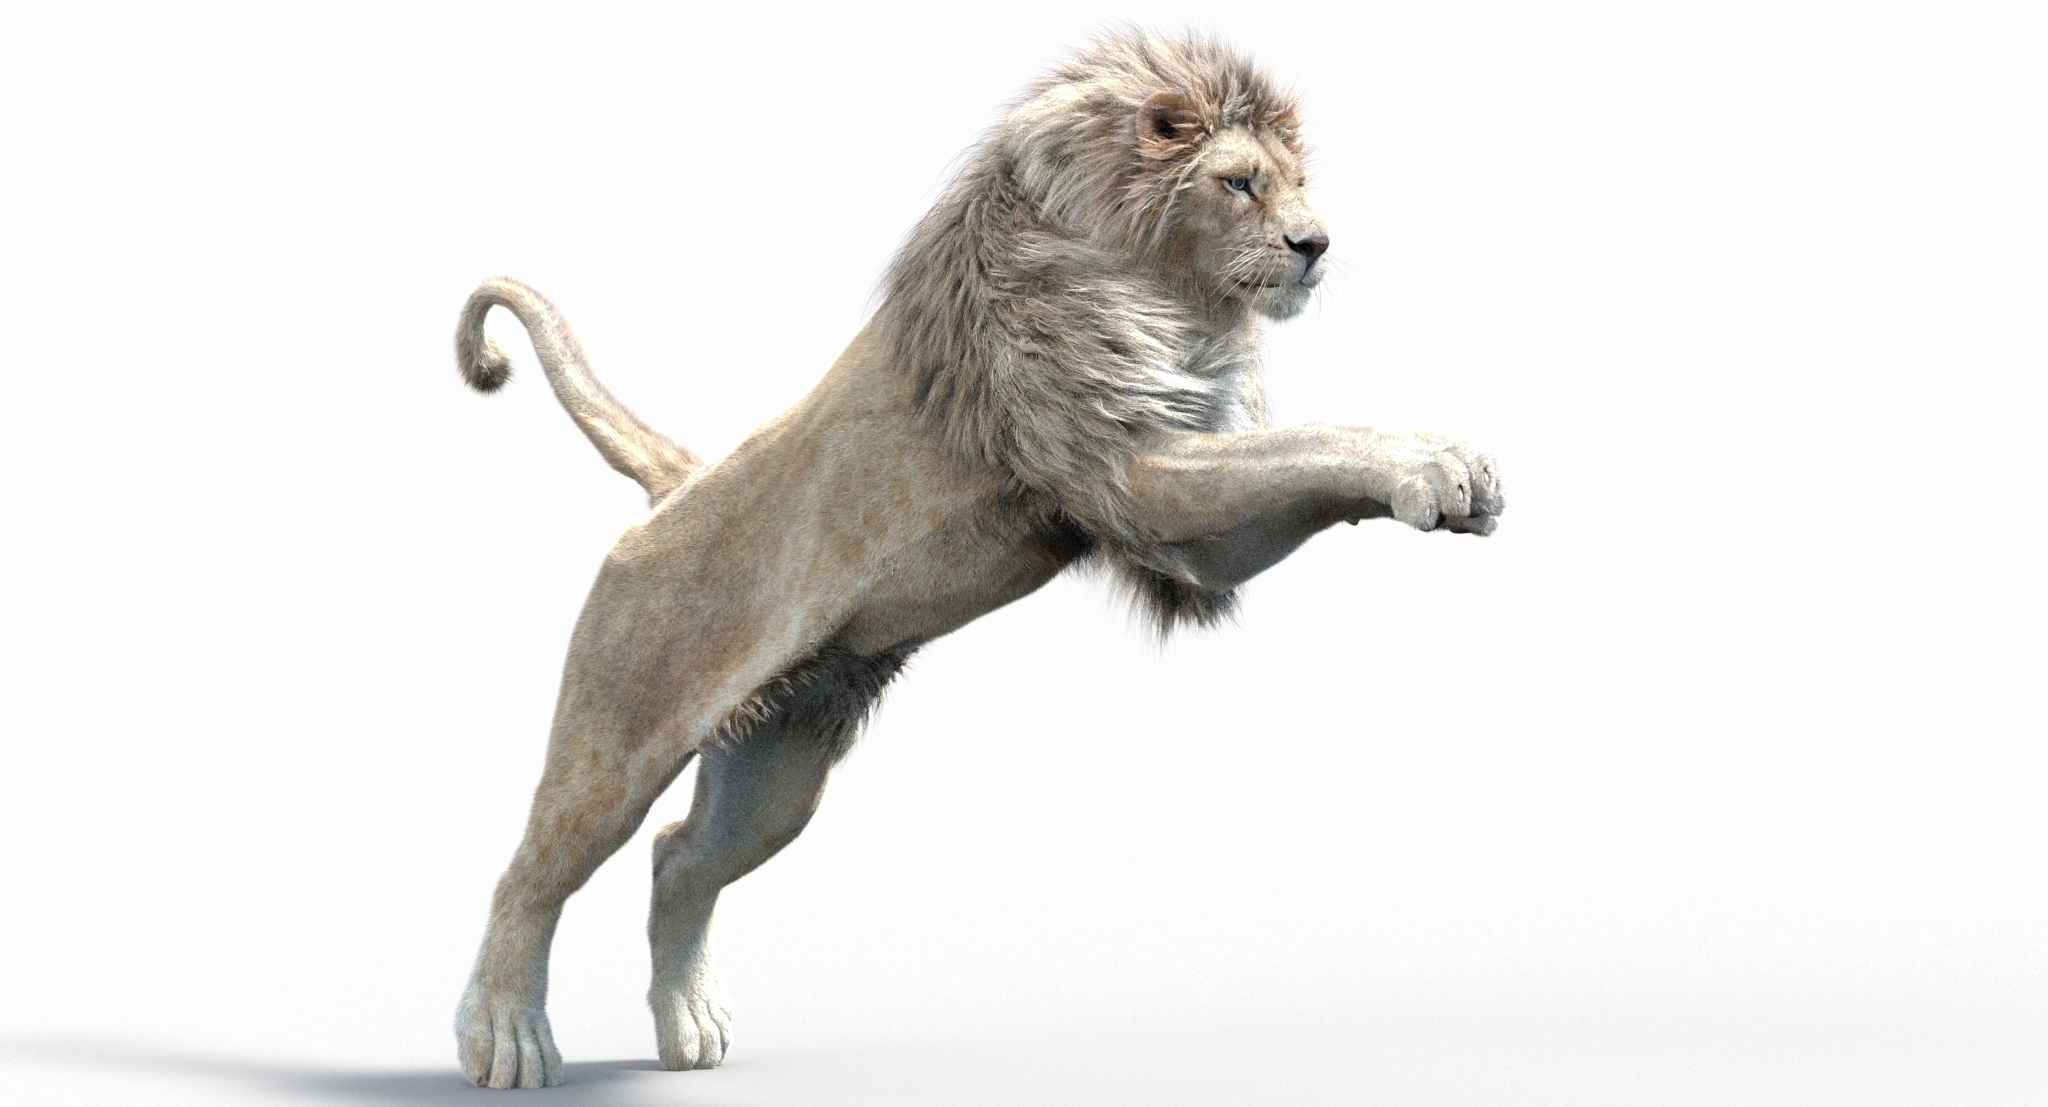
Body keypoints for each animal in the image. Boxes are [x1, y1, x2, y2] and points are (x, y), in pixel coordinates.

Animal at [449, 32, 1504, 1089]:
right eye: (1240, 182)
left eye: (1297, 183)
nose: (1315, 244)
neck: (1172, 289)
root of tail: (680, 483)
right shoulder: (1128, 468)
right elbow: (1315, 441)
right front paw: (1431, 464)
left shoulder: (1190, 529)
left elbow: (1297, 460)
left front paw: (1449, 477)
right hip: (621, 736)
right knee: (531, 872)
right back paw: (506, 1039)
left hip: (777, 770)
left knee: (677, 855)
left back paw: (689, 1025)